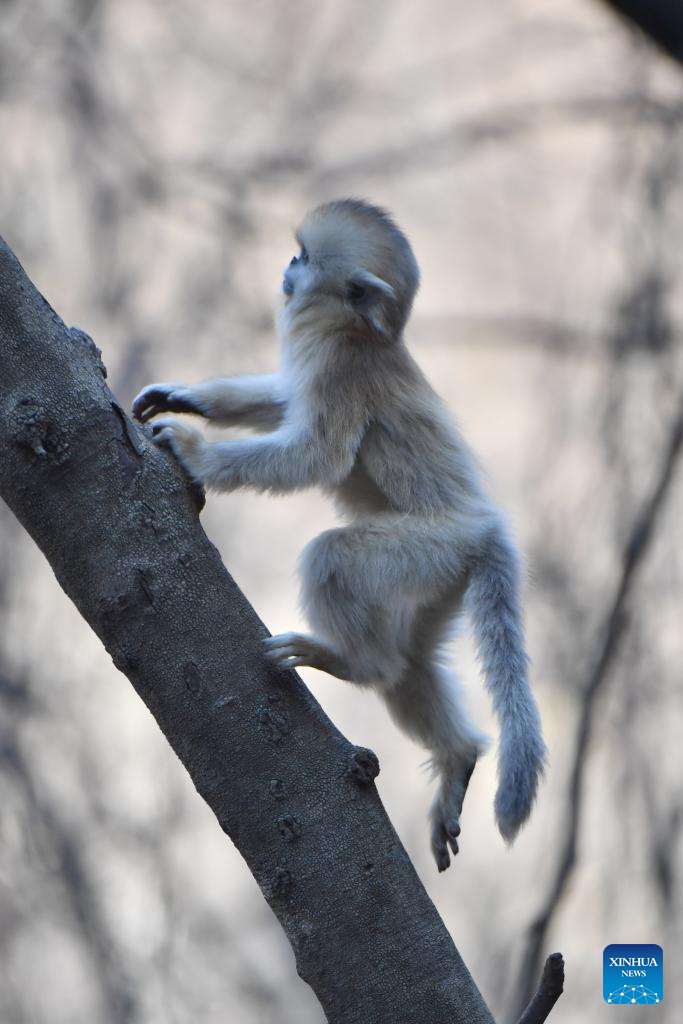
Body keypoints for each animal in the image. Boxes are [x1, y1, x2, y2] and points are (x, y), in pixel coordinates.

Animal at [132, 198, 546, 871]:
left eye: (304, 257)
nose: (286, 264)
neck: (360, 332)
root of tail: (489, 530)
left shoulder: (338, 370)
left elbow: (314, 455)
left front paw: (195, 453)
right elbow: (282, 401)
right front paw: (186, 397)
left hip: (431, 548)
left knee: (336, 562)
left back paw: (351, 660)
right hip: (444, 579)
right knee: (410, 665)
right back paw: (456, 756)